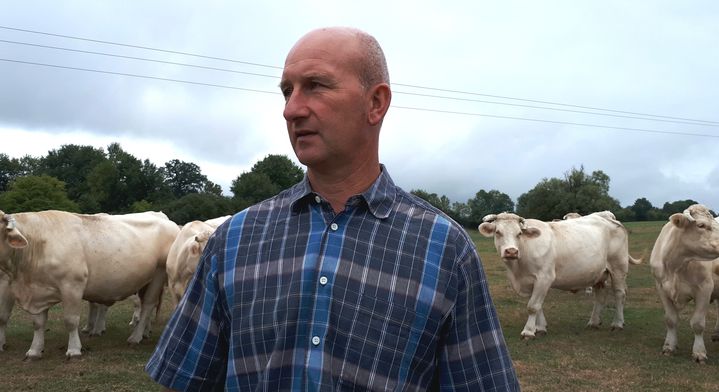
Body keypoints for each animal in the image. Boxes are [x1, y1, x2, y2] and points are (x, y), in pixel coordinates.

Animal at [0, 210, 179, 360]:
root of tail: (167, 221)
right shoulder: (38, 290)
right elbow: (38, 323)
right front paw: (34, 351)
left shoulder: (72, 285)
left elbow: (71, 320)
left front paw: (74, 350)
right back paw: (144, 333)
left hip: (158, 274)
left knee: (148, 305)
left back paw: (135, 337)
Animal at [478, 210, 640, 338]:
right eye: (498, 232)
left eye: (519, 234)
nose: (511, 251)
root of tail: (607, 217)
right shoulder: (530, 282)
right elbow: (538, 305)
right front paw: (540, 328)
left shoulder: (544, 277)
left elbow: (533, 306)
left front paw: (528, 331)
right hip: (599, 273)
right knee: (600, 296)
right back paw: (594, 322)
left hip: (618, 267)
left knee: (619, 294)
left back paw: (617, 323)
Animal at [648, 204, 719, 362]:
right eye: (701, 225)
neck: (676, 265)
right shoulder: (661, 288)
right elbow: (670, 319)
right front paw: (669, 346)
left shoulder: (705, 288)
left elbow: (698, 323)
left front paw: (699, 353)